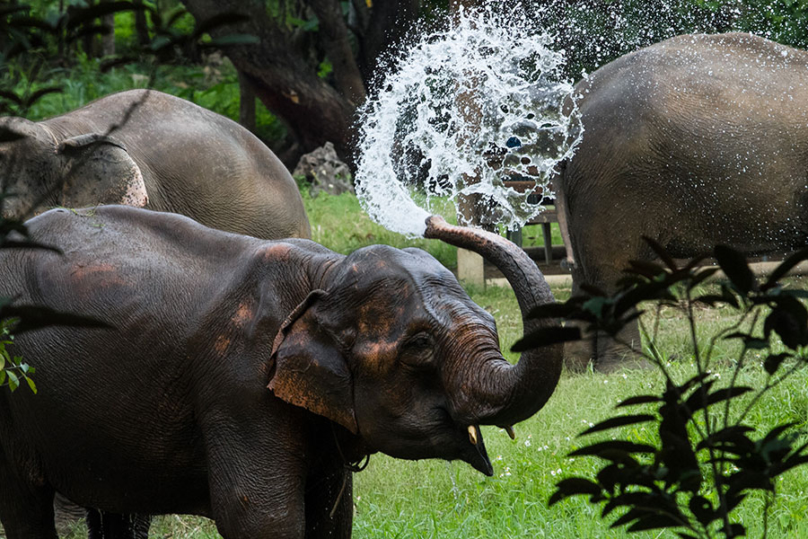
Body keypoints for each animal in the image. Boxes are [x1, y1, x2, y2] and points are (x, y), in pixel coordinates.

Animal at [0, 206, 560, 539]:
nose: (431, 218)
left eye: (492, 321)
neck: (325, 273)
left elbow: (333, 520)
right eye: (420, 346)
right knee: (24, 504)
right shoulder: (239, 389)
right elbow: (260, 520)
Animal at [556, 32, 808, 372]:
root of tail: (575, 105)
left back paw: (578, 368)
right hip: (613, 182)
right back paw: (629, 369)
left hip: (584, 187)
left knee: (583, 273)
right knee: (615, 271)